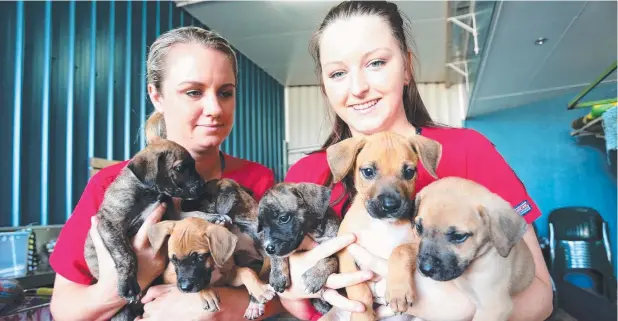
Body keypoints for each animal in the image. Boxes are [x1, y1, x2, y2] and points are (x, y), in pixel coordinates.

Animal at [256, 181, 340, 314]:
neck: (311, 231)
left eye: (283, 218)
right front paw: (278, 275)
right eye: (262, 226)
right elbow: (278, 257)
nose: (268, 249)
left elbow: (329, 257)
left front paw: (315, 276)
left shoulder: (334, 242)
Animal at [324, 131, 440, 320]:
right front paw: (363, 315)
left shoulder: (418, 245)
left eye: (409, 172)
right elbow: (359, 290)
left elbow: (400, 250)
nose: (390, 205)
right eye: (368, 171)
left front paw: (399, 292)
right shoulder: (346, 253)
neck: (383, 225)